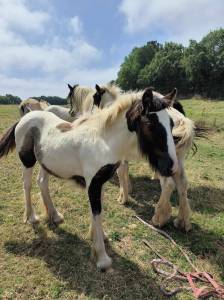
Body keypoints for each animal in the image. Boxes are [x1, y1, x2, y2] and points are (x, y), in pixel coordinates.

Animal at [0, 86, 178, 270]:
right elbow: (97, 212)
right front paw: (102, 257)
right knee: (27, 185)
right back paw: (31, 217)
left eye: (172, 124)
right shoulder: (93, 184)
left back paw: (55, 216)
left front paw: (99, 236)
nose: (171, 167)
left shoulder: (101, 182)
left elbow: (99, 210)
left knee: (42, 183)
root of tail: (26, 117)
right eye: (150, 124)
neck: (104, 141)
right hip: (27, 160)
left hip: (46, 164)